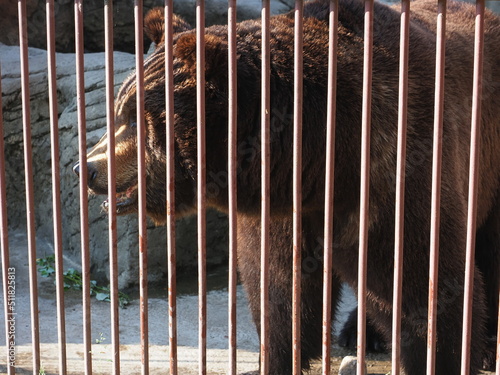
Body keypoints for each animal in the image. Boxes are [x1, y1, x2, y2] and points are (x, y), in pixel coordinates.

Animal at [75, 1, 500, 374]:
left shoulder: (394, 160)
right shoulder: (284, 205)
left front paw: (443, 356)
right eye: (119, 111)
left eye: (136, 118)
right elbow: (280, 284)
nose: (87, 167)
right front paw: (277, 357)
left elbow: (421, 277)